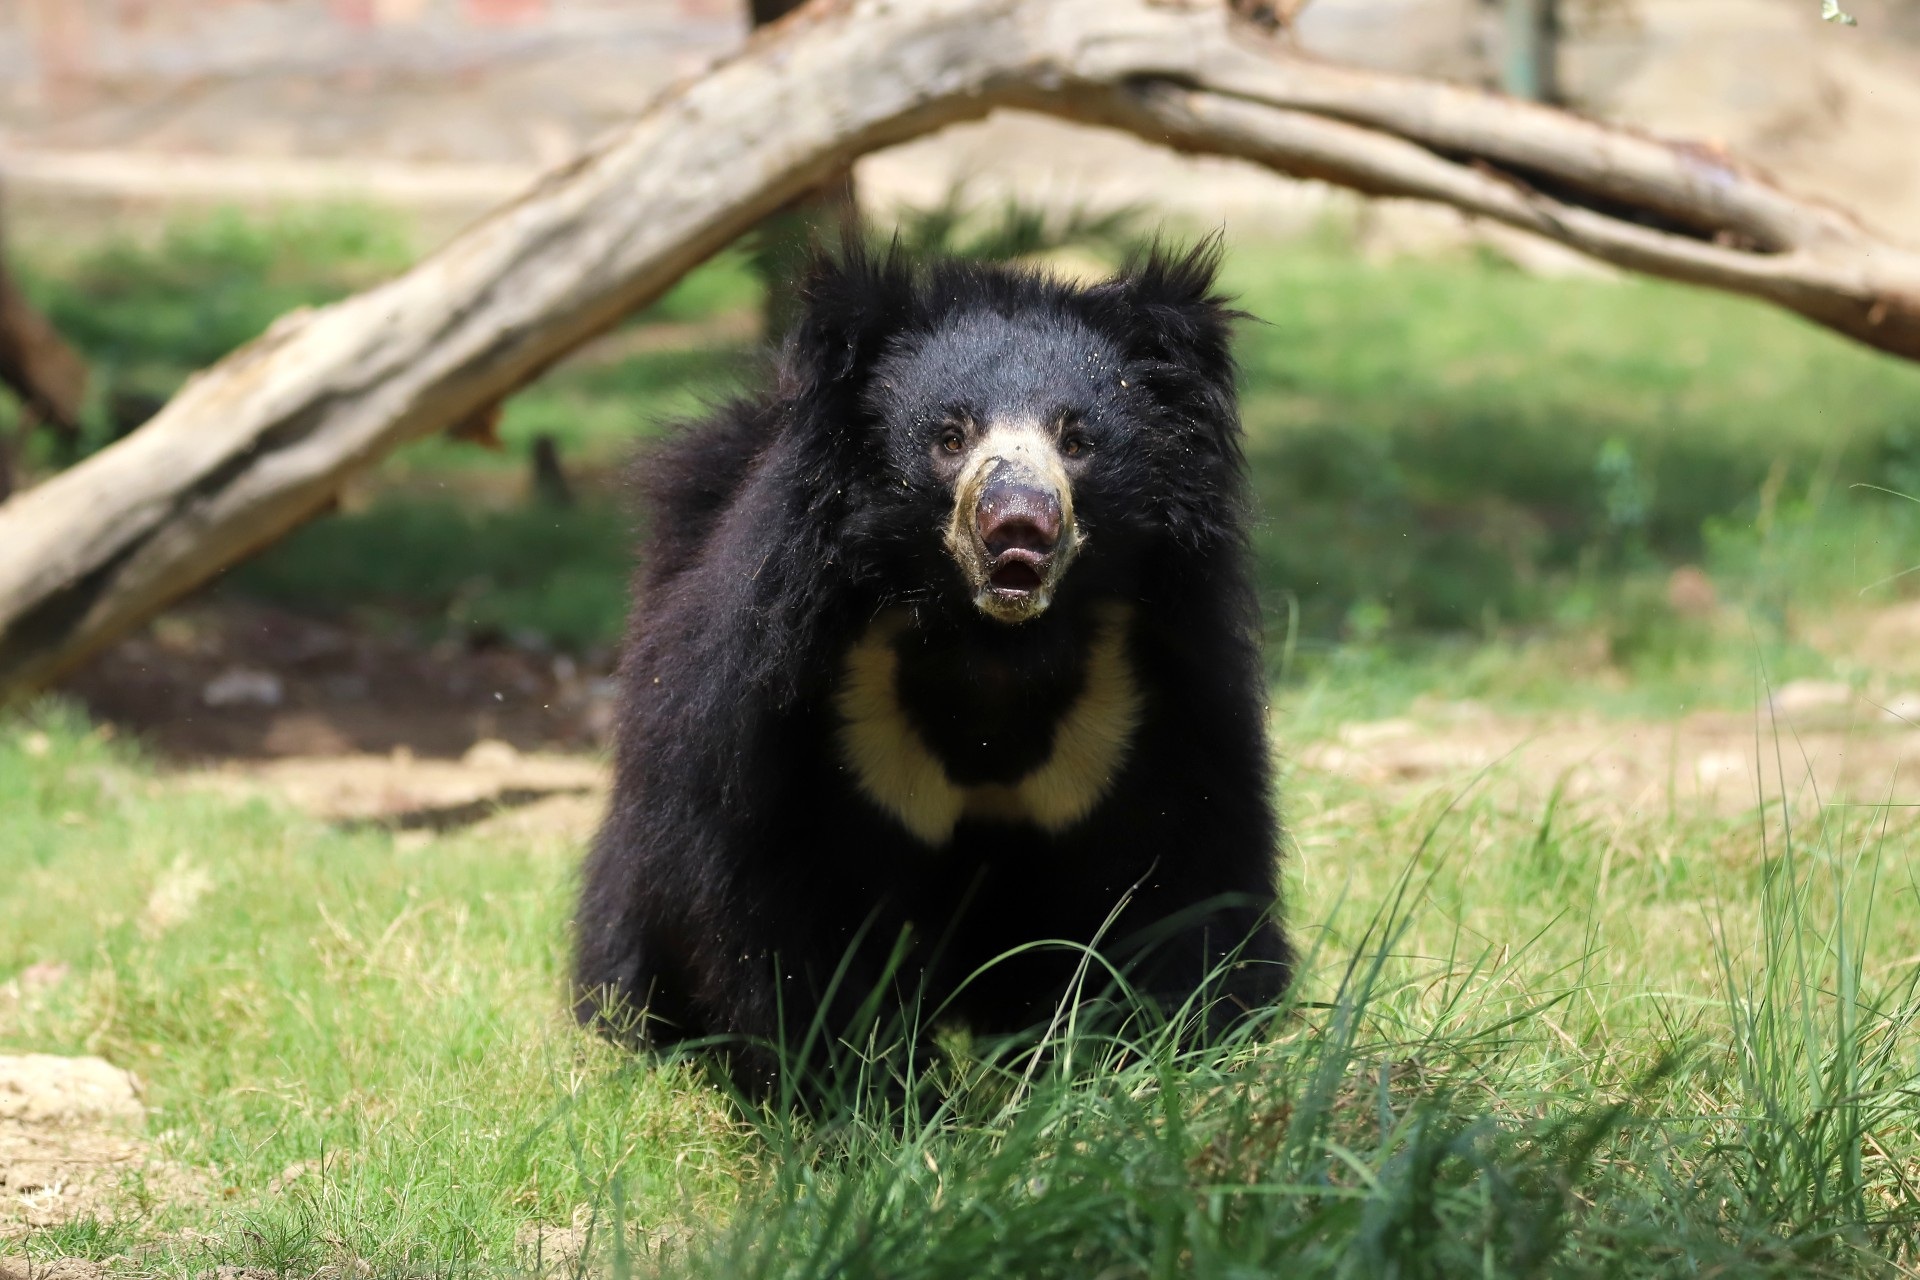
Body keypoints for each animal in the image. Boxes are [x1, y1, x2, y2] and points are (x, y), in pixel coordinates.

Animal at [568, 239, 1290, 1090]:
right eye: (950, 436)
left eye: (1076, 440)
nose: (1020, 521)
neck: (993, 642)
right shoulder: (789, 699)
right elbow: (791, 910)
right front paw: (858, 1088)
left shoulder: (1153, 693)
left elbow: (1180, 872)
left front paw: (1147, 1055)